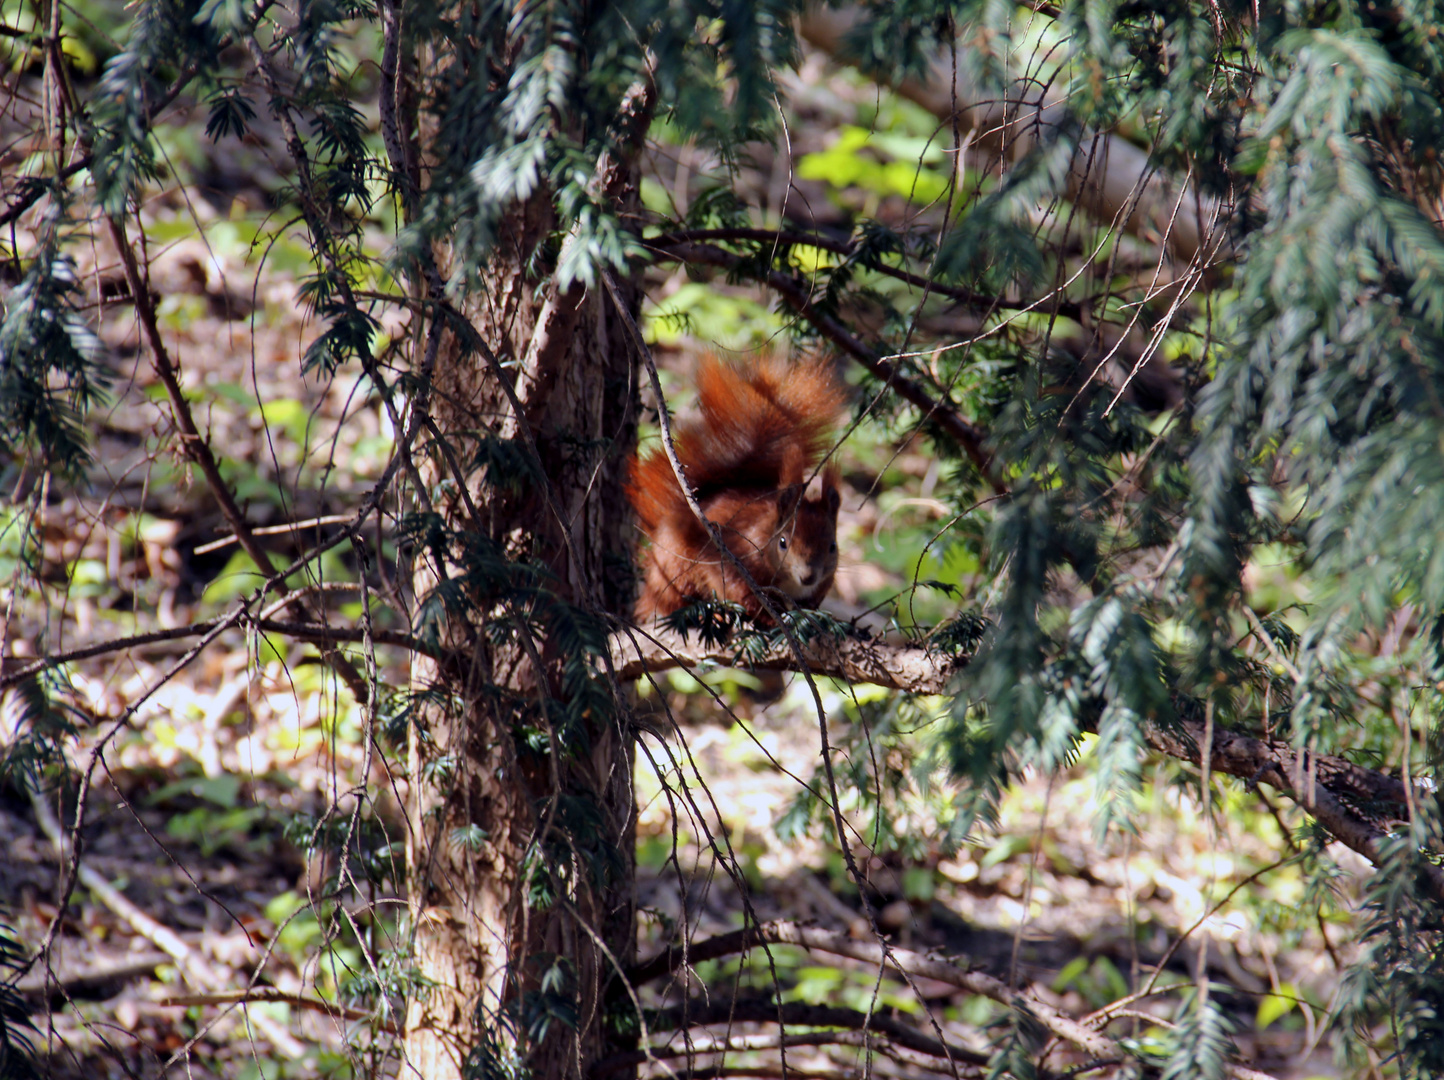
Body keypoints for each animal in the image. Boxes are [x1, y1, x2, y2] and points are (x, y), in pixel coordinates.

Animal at [629, 353, 843, 623]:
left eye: (833, 547)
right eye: (783, 542)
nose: (808, 577)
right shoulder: (731, 559)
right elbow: (742, 593)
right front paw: (771, 618)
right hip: (674, 568)